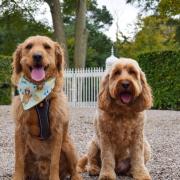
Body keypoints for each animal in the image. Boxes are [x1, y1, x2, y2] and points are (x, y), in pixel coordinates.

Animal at [11, 35, 81, 180]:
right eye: (29, 46)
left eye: (47, 47)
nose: (37, 56)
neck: (39, 98)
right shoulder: (20, 129)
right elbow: (18, 161)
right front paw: (17, 177)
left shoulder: (57, 130)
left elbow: (54, 161)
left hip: (68, 145)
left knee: (74, 169)